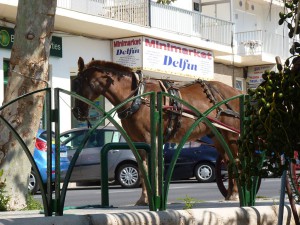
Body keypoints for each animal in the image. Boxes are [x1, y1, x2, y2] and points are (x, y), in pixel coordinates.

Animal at [72, 56, 241, 206]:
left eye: (77, 82)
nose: (76, 112)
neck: (138, 97)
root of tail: (236, 92)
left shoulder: (150, 138)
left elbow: (153, 169)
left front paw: (154, 197)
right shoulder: (137, 141)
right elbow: (143, 170)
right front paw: (144, 199)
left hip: (230, 134)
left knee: (235, 160)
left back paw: (235, 194)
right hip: (217, 136)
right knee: (228, 160)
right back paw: (230, 194)